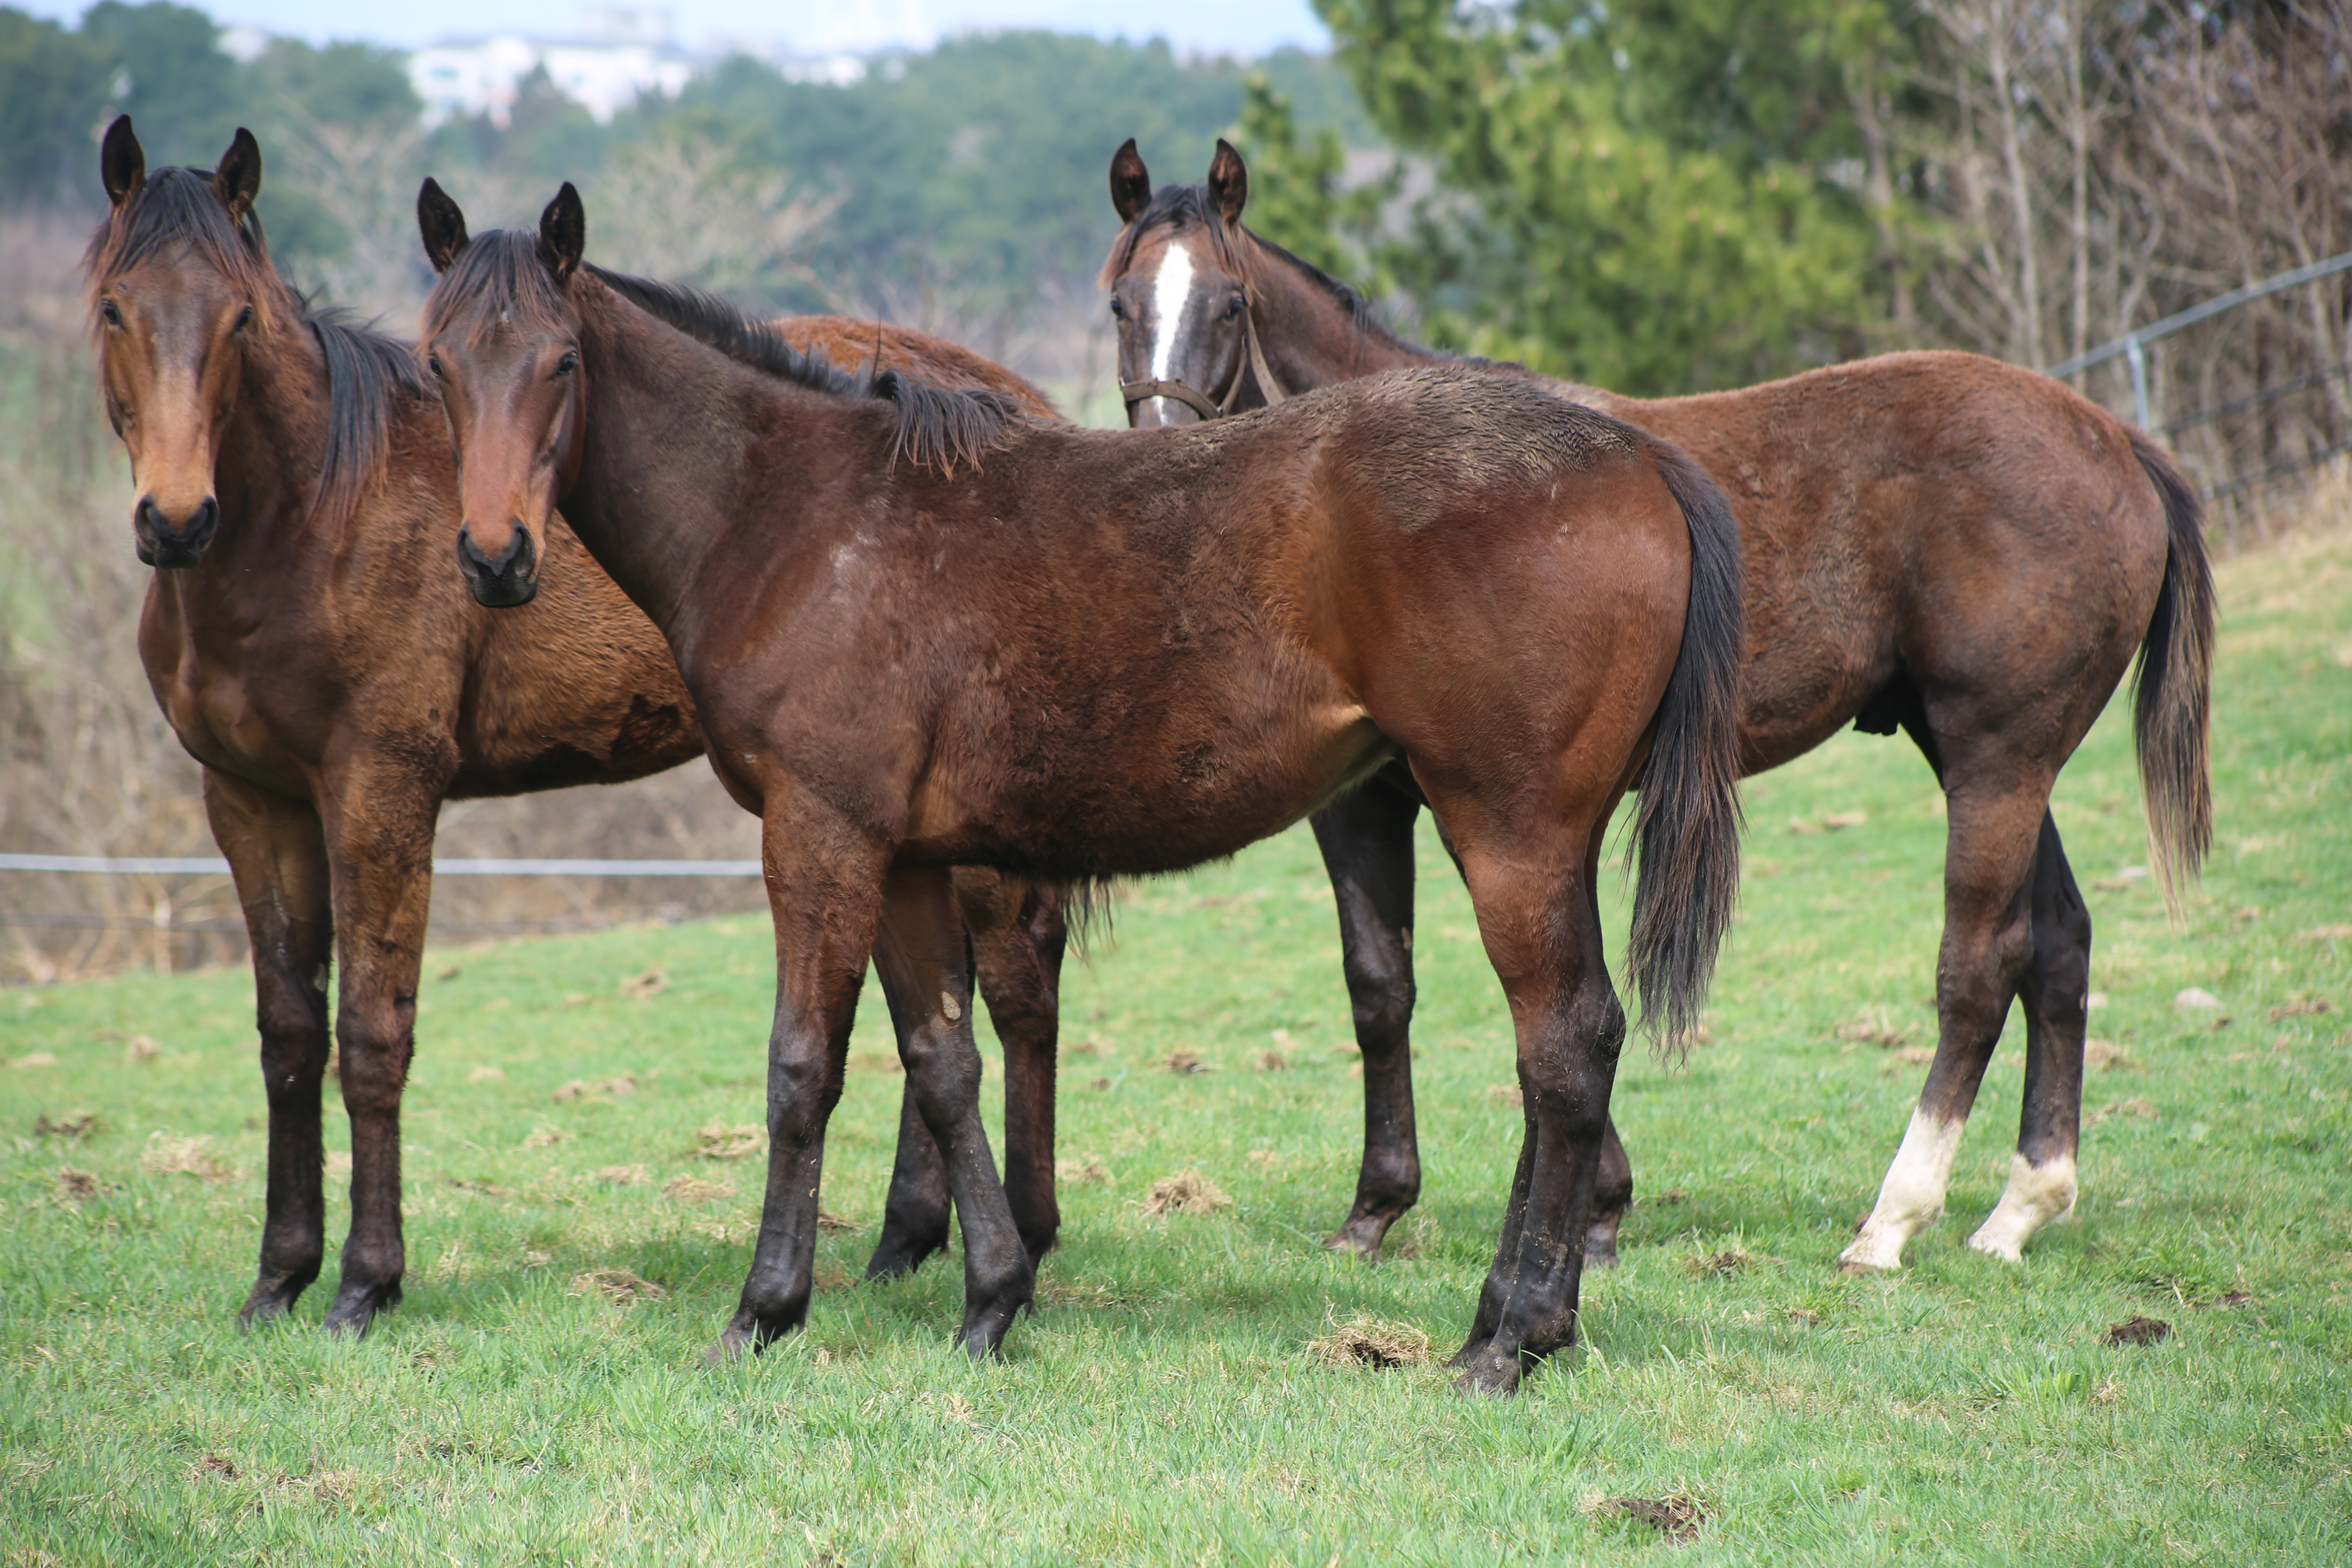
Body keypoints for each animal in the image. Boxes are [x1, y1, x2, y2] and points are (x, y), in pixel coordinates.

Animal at [76, 116, 1068, 1335]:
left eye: (240, 318)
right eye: (115, 308)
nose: (175, 519)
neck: (312, 521)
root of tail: (1017, 403)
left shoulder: (379, 794)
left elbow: (373, 1034)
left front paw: (365, 1283)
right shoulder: (251, 804)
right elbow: (290, 1034)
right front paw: (279, 1278)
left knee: (1016, 991)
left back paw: (1018, 1241)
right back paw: (906, 1241)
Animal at [419, 184, 1750, 1401]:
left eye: (561, 362)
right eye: (439, 364)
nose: (494, 559)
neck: (796, 518)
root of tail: (1635, 453)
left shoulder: (821, 834)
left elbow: (803, 1067)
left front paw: (763, 1312)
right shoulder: (906, 855)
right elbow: (941, 1062)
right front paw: (991, 1302)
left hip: (1508, 825)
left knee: (1560, 1046)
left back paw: (1505, 1340)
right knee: (1576, 1041)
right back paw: (1529, 1320)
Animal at [1091, 138, 2211, 1278]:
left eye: (1229, 303)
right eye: (1121, 304)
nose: (1161, 453)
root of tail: (2114, 439)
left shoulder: (1489, 807)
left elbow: (1550, 998)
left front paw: (1589, 1207)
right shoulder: (1371, 805)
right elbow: (1382, 986)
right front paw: (1380, 1207)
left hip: (1996, 760)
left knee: (1980, 965)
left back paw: (1892, 1222)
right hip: (1988, 760)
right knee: (2058, 944)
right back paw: (2018, 1208)